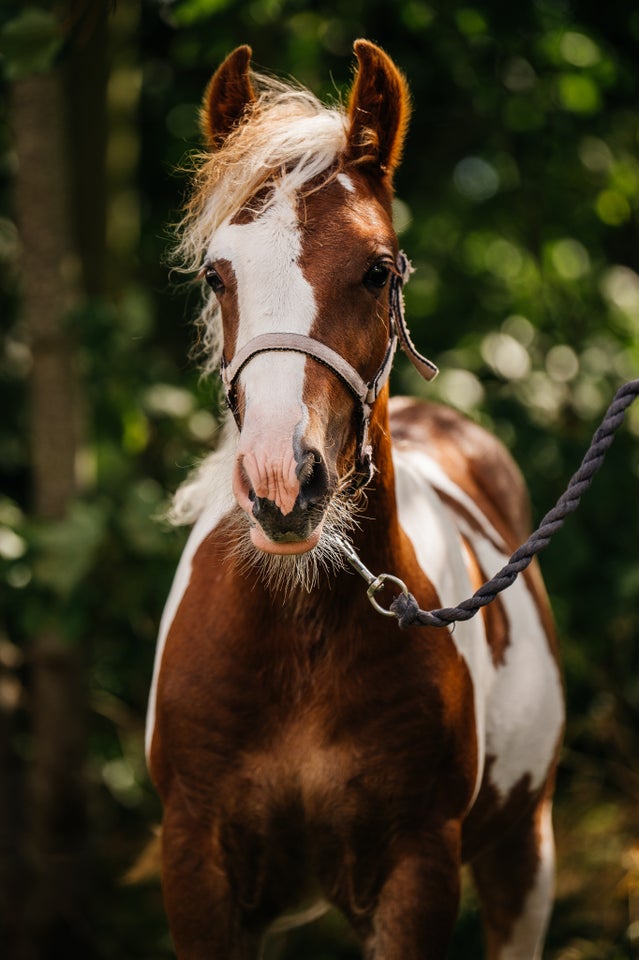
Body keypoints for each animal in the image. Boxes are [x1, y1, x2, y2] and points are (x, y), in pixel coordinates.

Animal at [148, 39, 568, 960]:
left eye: (378, 271)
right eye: (216, 275)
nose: (282, 483)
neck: (299, 632)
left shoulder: (419, 871)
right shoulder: (197, 867)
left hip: (524, 854)